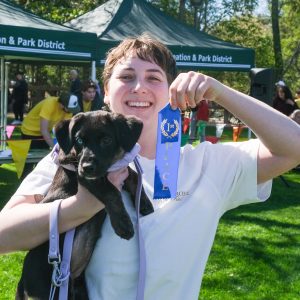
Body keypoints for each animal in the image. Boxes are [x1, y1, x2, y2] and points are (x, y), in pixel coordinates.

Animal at [15, 110, 154, 300]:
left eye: (106, 140)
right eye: (79, 141)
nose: (87, 166)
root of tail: (22, 282)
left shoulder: (113, 170)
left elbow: (132, 174)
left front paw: (144, 203)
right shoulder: (83, 175)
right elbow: (111, 191)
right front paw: (123, 224)